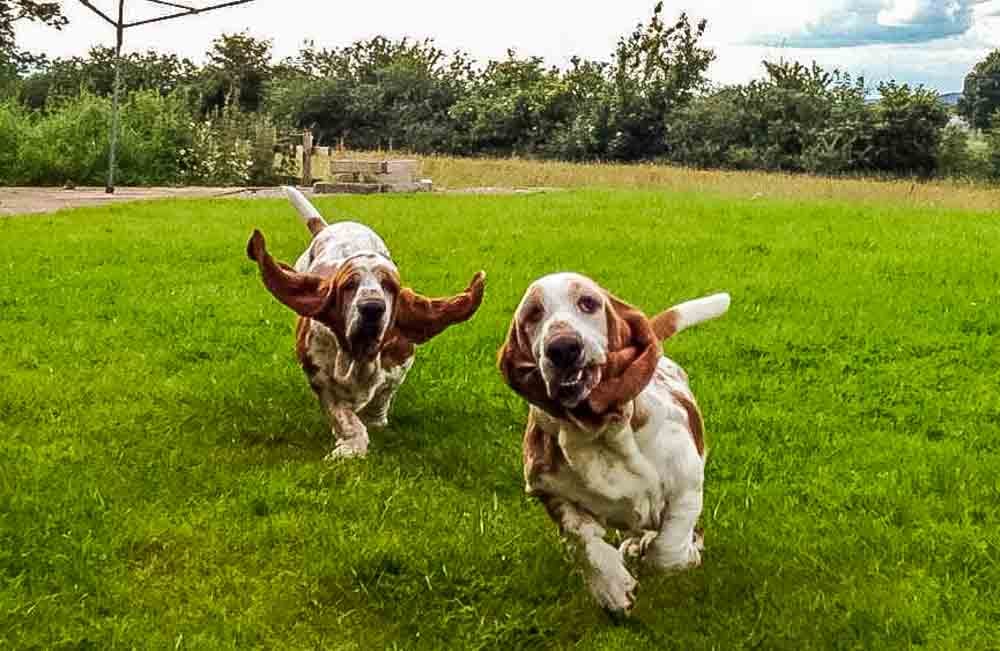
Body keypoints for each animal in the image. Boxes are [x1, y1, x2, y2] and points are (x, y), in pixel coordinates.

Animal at [248, 187, 486, 464]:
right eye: (349, 285)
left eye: (389, 286)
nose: (372, 308)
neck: (358, 356)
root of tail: (329, 228)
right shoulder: (320, 379)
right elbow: (344, 417)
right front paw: (350, 446)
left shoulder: (399, 365)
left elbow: (382, 395)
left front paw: (374, 420)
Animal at [498, 274, 728, 616]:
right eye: (533, 314)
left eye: (588, 303)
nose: (563, 348)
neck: (598, 434)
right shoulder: (551, 494)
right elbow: (584, 540)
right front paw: (612, 588)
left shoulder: (686, 485)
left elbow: (667, 551)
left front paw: (686, 552)